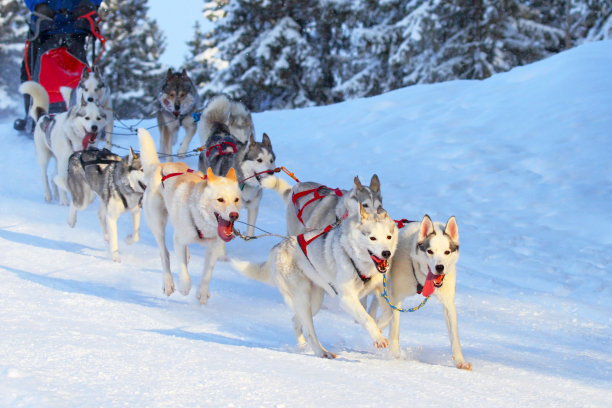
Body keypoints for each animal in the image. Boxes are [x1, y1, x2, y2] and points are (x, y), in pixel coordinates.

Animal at [139, 127, 241, 302]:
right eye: (220, 199)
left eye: (236, 199)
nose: (234, 215)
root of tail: (160, 165)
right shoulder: (179, 240)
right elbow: (182, 268)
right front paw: (185, 286)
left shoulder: (213, 246)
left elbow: (207, 272)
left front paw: (203, 291)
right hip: (157, 223)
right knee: (164, 253)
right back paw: (168, 282)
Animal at [198, 95, 278, 236]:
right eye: (259, 160)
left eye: (271, 160)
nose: (271, 172)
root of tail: (219, 131)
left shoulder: (253, 207)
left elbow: (250, 232)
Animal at [232, 206, 400, 358]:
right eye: (372, 238)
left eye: (388, 237)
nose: (386, 253)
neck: (358, 261)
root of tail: (279, 246)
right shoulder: (347, 299)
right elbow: (366, 318)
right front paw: (378, 337)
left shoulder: (380, 289)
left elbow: (388, 313)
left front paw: (379, 327)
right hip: (303, 299)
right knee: (309, 332)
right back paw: (322, 352)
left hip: (315, 302)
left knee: (295, 321)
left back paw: (302, 347)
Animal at [370, 215, 470, 372]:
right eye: (430, 251)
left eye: (447, 252)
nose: (439, 267)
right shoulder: (396, 298)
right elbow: (394, 328)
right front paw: (394, 353)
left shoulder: (448, 303)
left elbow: (455, 335)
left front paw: (460, 361)